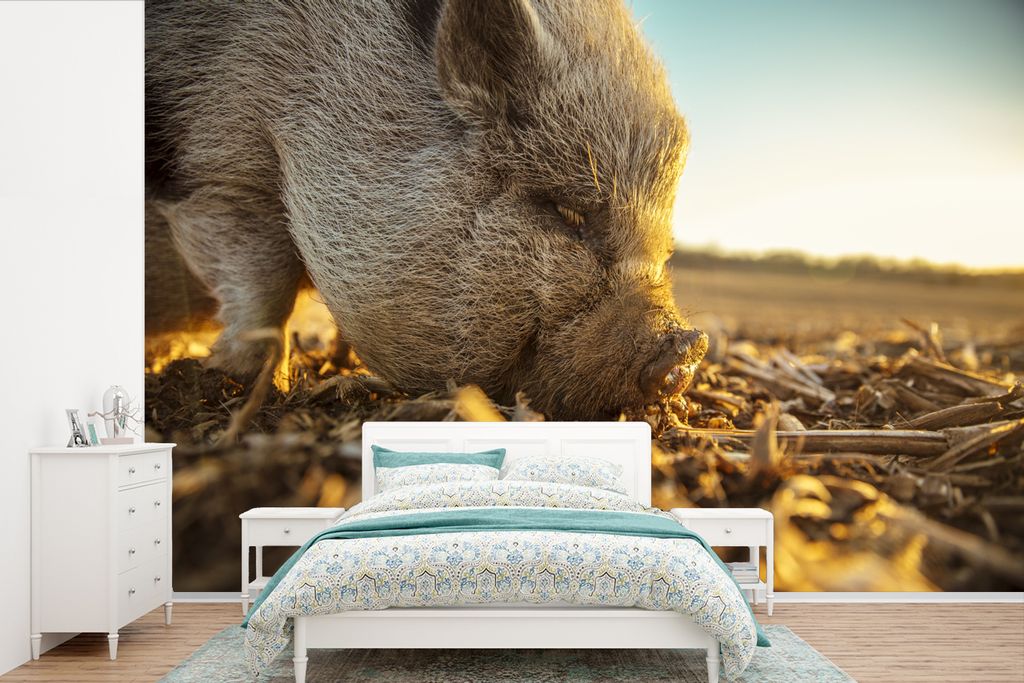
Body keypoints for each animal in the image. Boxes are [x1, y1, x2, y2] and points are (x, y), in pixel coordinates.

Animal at [145, 0, 708, 420]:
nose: (688, 347)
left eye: (666, 251)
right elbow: (262, 283)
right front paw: (246, 380)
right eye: (566, 212)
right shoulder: (222, 165)